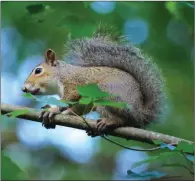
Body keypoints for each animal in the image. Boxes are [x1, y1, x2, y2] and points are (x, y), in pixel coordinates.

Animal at [22, 26, 165, 136]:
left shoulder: (73, 84)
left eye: (38, 71)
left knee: (125, 120)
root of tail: (140, 114)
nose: (24, 88)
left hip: (108, 93)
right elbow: (76, 109)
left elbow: (68, 99)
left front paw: (52, 109)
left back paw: (111, 121)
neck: (61, 75)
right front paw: (56, 112)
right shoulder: (82, 102)